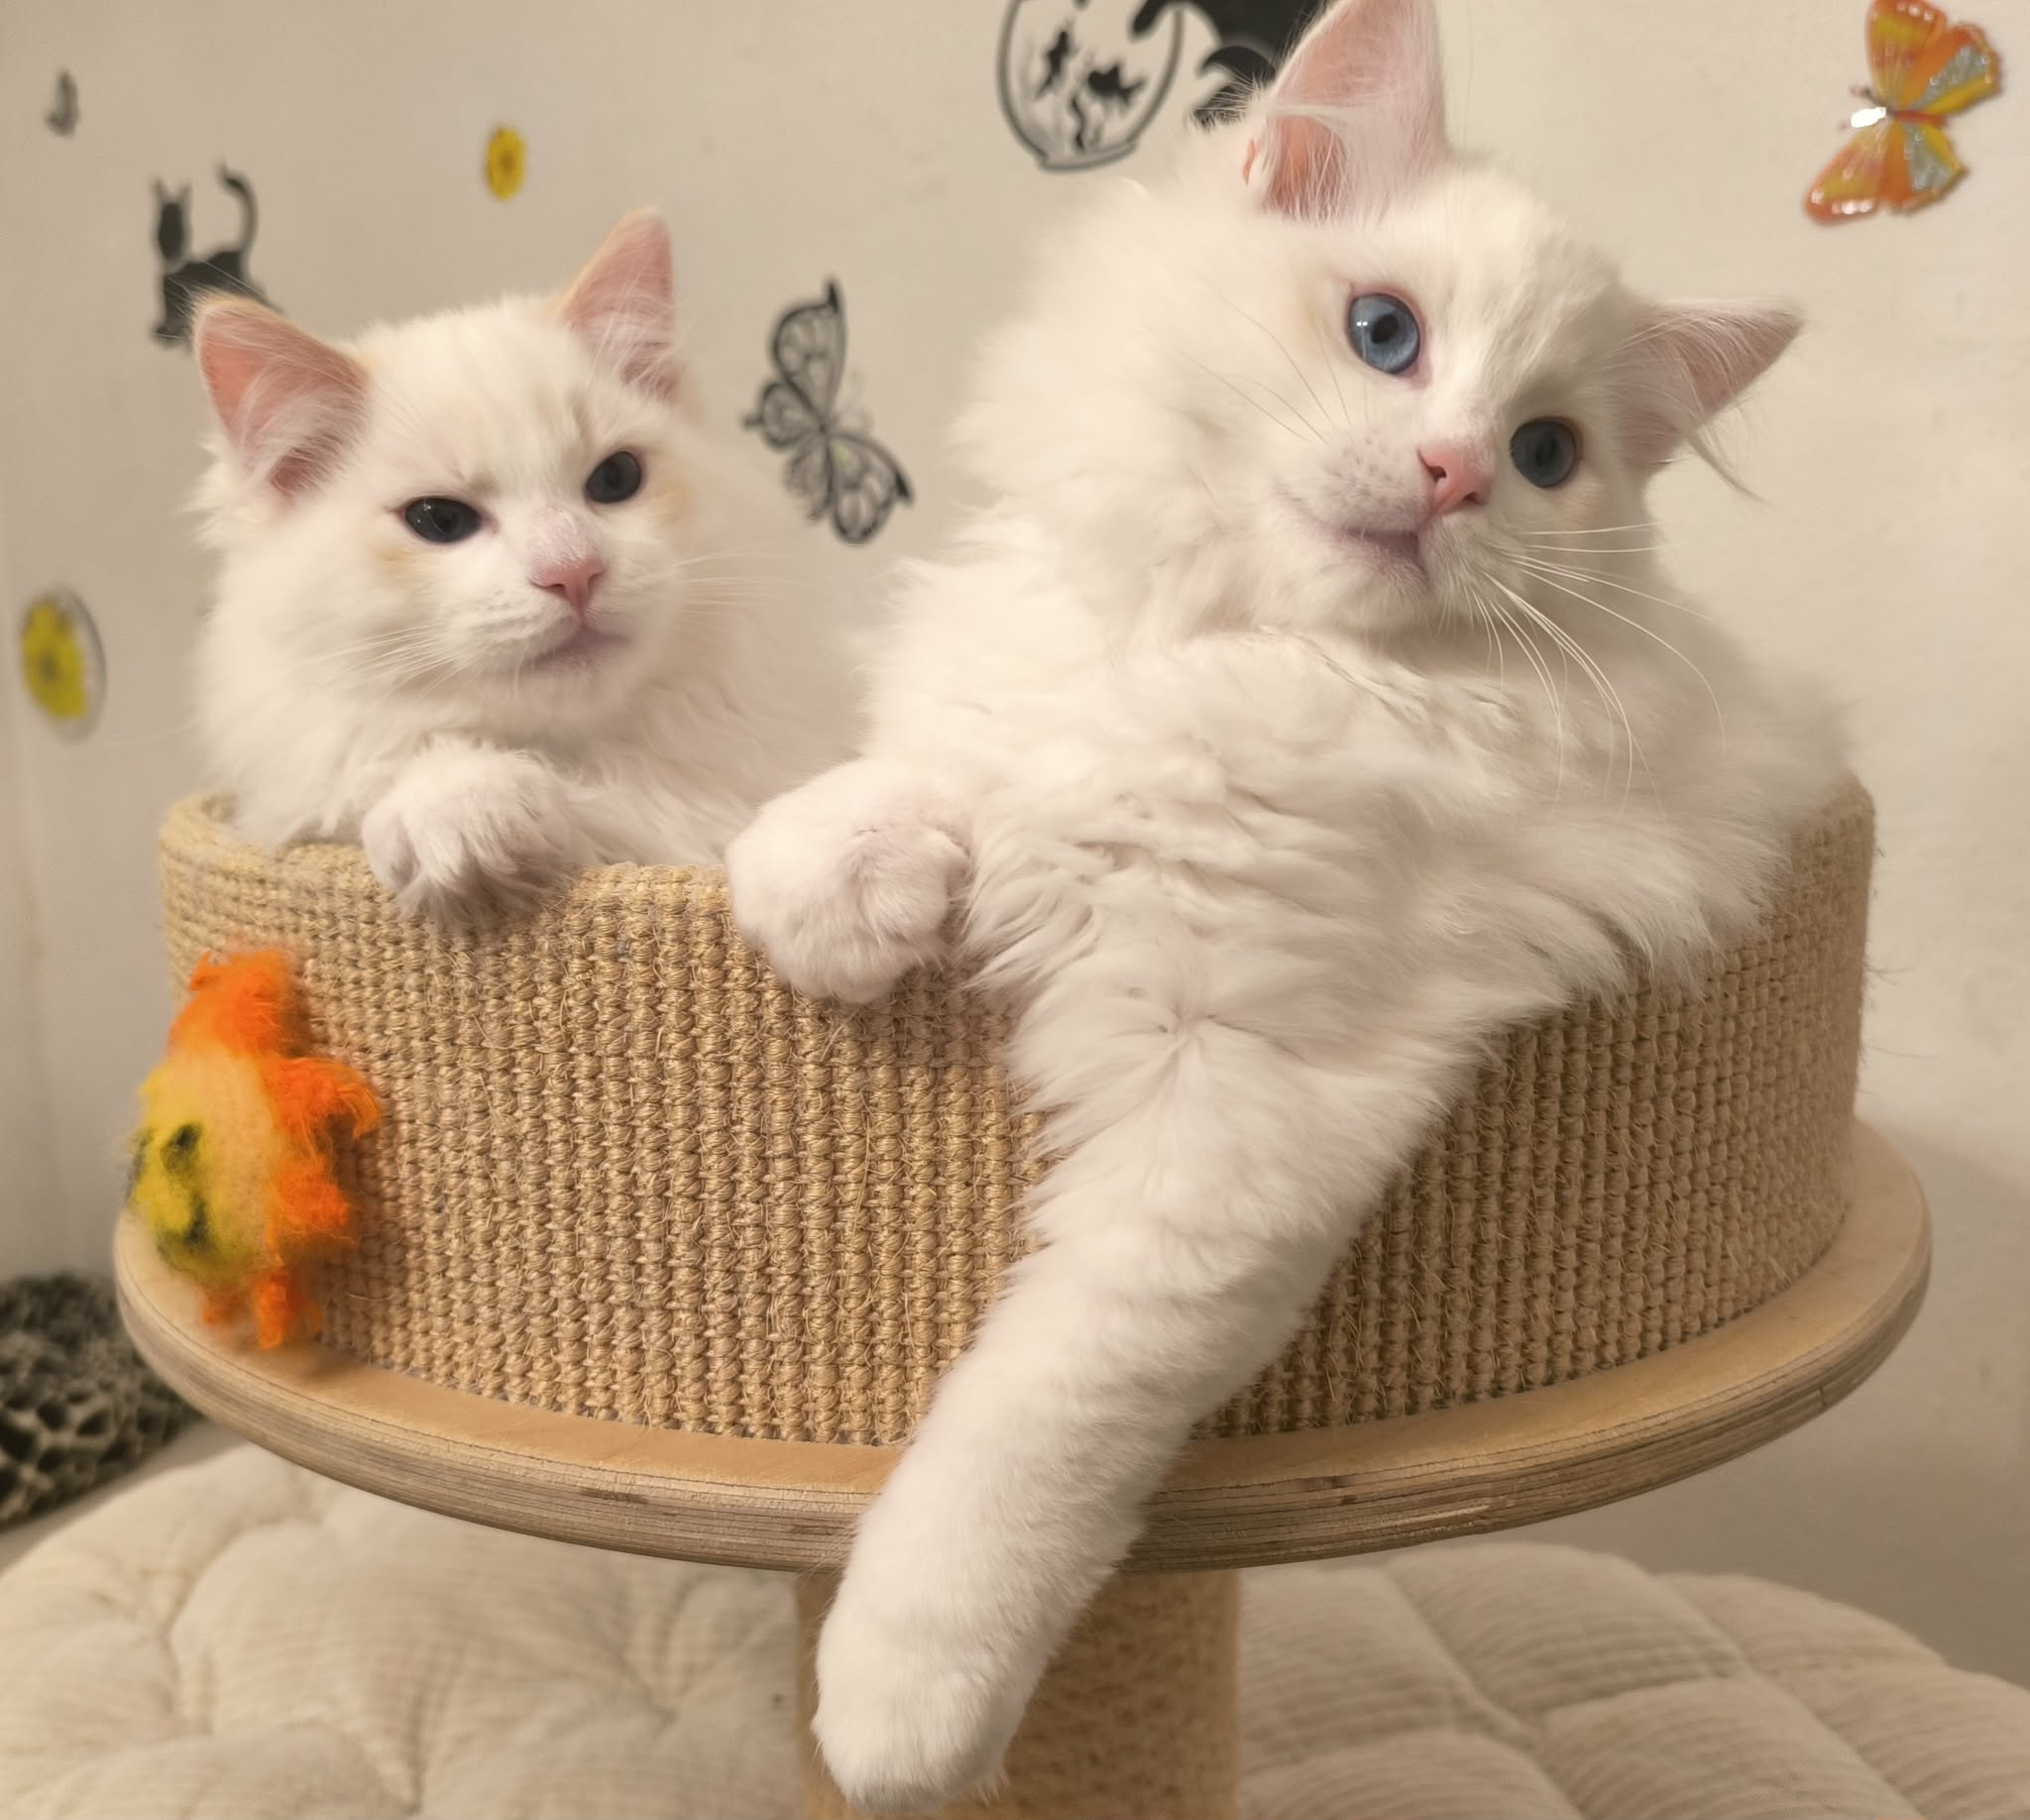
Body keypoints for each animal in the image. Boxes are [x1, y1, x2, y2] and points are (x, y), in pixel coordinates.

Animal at [194, 211, 848, 920]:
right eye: (439, 521)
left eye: (615, 479)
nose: (574, 572)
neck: (592, 767)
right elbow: (416, 761)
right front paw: (465, 818)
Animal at [726, 0, 1844, 1806]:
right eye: (1385, 334)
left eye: (1546, 455)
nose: (1454, 473)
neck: (1233, 643)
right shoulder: (1033, 696)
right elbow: (930, 763)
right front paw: (835, 873)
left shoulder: (1234, 1104)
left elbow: (1023, 1432)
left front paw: (902, 1709)